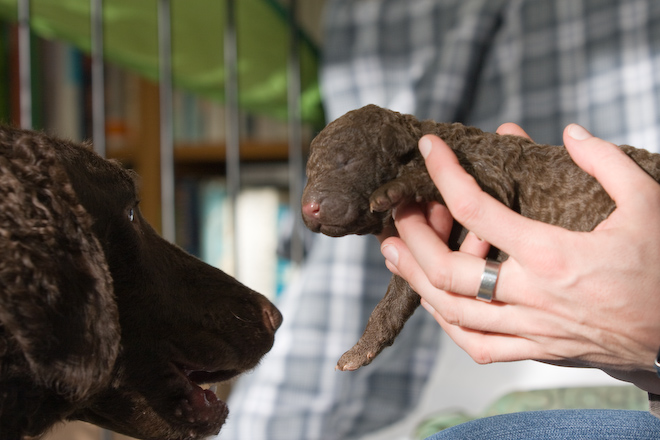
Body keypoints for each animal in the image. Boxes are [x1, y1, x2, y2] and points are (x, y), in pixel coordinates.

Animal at [300, 103, 660, 372]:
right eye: (308, 171)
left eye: (346, 162)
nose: (307, 207)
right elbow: (391, 304)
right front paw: (360, 350)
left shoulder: (490, 178)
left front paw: (395, 189)